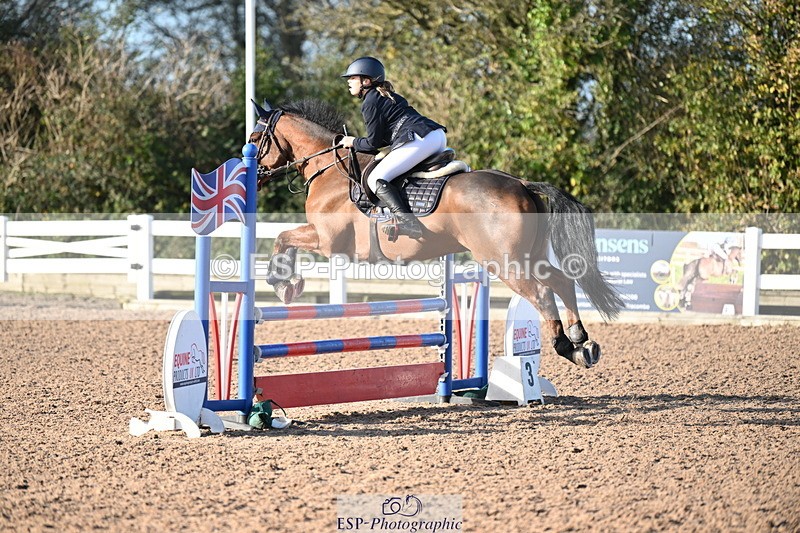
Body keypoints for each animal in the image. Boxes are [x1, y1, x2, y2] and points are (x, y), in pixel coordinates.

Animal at [248, 99, 624, 368]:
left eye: (254, 140)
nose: (254, 177)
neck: (329, 170)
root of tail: (520, 183)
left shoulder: (327, 241)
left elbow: (282, 238)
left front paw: (283, 284)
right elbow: (284, 239)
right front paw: (287, 283)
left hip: (503, 262)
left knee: (543, 293)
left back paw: (564, 345)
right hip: (527, 256)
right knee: (561, 281)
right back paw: (580, 344)